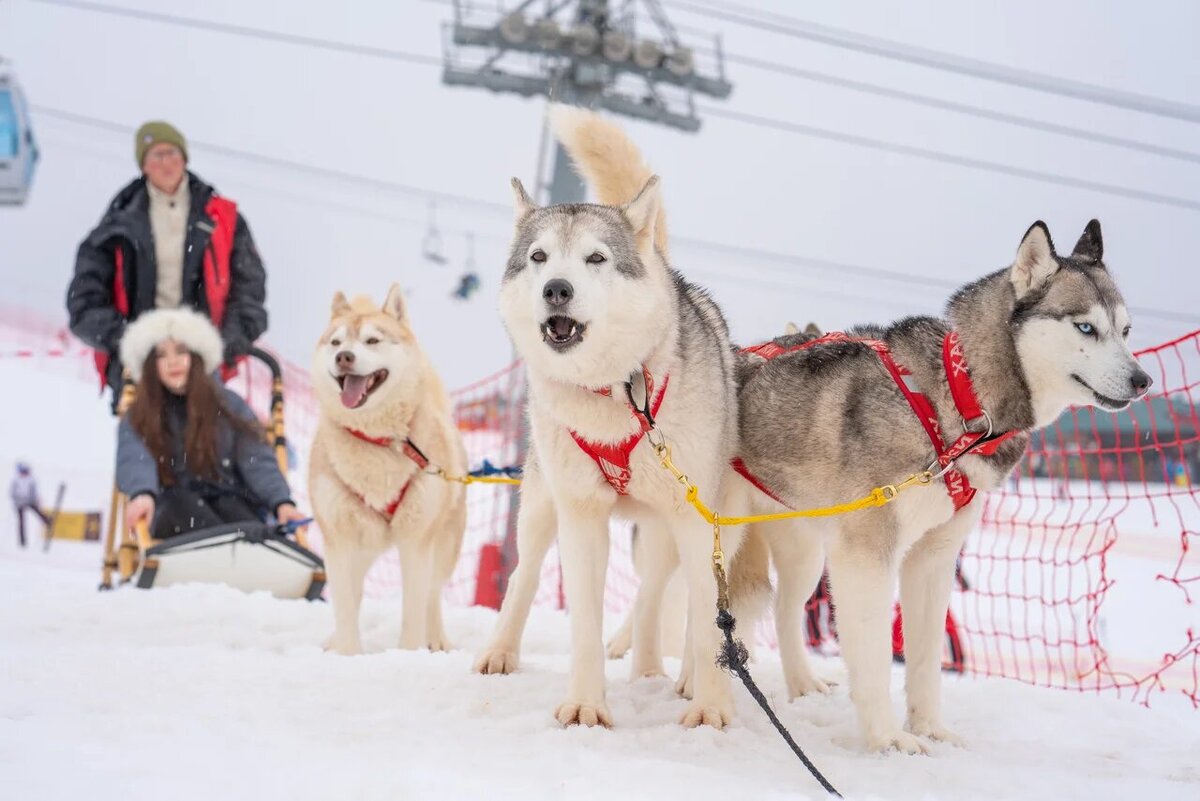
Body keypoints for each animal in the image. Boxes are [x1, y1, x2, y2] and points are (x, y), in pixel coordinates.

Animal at [307, 287, 465, 657]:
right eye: (336, 342)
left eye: (372, 340)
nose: (345, 357)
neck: (378, 441)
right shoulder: (339, 540)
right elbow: (345, 605)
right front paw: (348, 654)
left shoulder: (416, 541)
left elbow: (414, 607)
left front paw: (407, 655)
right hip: (361, 545)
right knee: (354, 594)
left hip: (444, 544)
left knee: (432, 595)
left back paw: (436, 640)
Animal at [472, 103, 763, 729]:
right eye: (538, 258)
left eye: (595, 259)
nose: (557, 289)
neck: (616, 394)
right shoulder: (581, 516)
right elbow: (583, 623)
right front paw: (586, 705)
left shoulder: (695, 522)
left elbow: (708, 627)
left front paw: (711, 707)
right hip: (541, 506)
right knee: (524, 575)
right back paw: (501, 652)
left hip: (677, 529)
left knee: (657, 598)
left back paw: (660, 674)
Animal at [734, 219, 1147, 753]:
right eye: (1085, 327)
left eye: (1126, 330)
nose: (1143, 379)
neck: (957, 396)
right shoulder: (866, 557)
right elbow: (872, 657)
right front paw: (887, 740)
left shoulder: (932, 559)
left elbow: (926, 658)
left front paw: (929, 727)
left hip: (803, 556)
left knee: (783, 611)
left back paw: (800, 683)